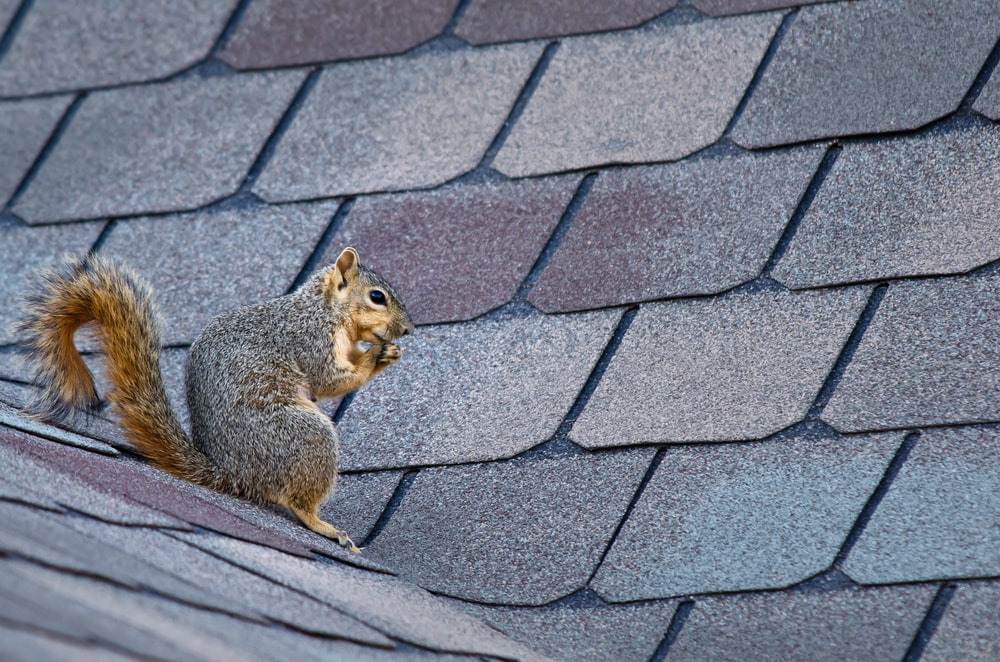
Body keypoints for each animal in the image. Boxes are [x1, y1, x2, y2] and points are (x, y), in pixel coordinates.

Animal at [19, 247, 413, 553]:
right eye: (377, 296)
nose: (408, 329)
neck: (325, 309)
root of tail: (233, 474)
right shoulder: (309, 339)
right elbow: (328, 378)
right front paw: (375, 358)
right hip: (304, 435)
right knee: (297, 501)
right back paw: (324, 525)